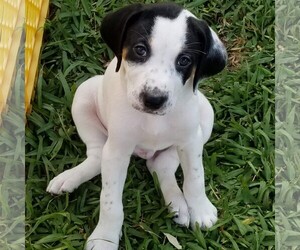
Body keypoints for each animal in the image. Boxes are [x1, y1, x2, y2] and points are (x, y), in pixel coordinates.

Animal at [47, 2, 226, 250]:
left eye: (184, 60)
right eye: (140, 50)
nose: (153, 99)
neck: (152, 119)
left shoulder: (190, 141)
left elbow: (195, 178)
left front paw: (199, 208)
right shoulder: (118, 150)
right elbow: (110, 202)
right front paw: (105, 239)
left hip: (206, 115)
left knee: (160, 165)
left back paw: (177, 203)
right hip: (84, 95)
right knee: (97, 156)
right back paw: (70, 177)